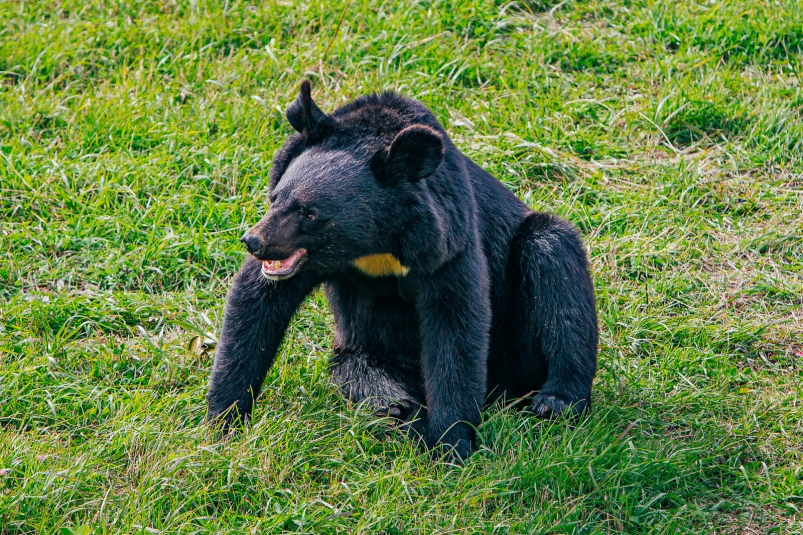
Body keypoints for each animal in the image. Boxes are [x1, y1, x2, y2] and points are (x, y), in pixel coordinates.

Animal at [206, 81, 598, 462]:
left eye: (311, 213)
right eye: (275, 199)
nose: (254, 241)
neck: (373, 244)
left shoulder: (447, 241)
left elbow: (455, 326)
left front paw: (451, 446)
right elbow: (256, 302)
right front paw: (222, 423)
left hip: (526, 309)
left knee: (556, 273)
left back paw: (555, 402)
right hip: (367, 354)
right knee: (365, 376)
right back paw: (399, 411)